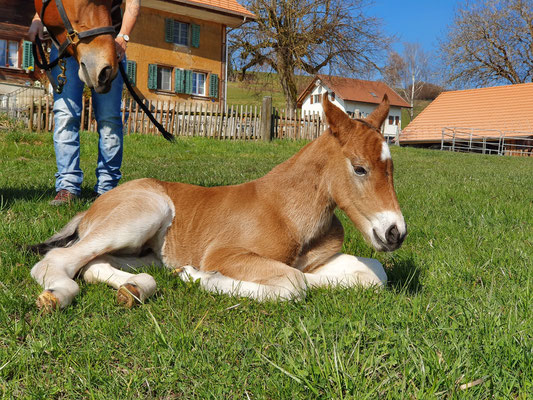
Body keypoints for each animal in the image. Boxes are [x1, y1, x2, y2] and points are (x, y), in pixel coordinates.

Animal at [31, 94, 406, 310]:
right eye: (359, 167)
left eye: (392, 167)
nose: (395, 233)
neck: (288, 210)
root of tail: (92, 209)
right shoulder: (226, 254)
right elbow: (293, 284)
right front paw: (200, 276)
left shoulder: (316, 261)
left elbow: (372, 273)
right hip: (146, 211)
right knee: (58, 259)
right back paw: (58, 295)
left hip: (144, 253)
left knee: (93, 264)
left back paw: (135, 288)